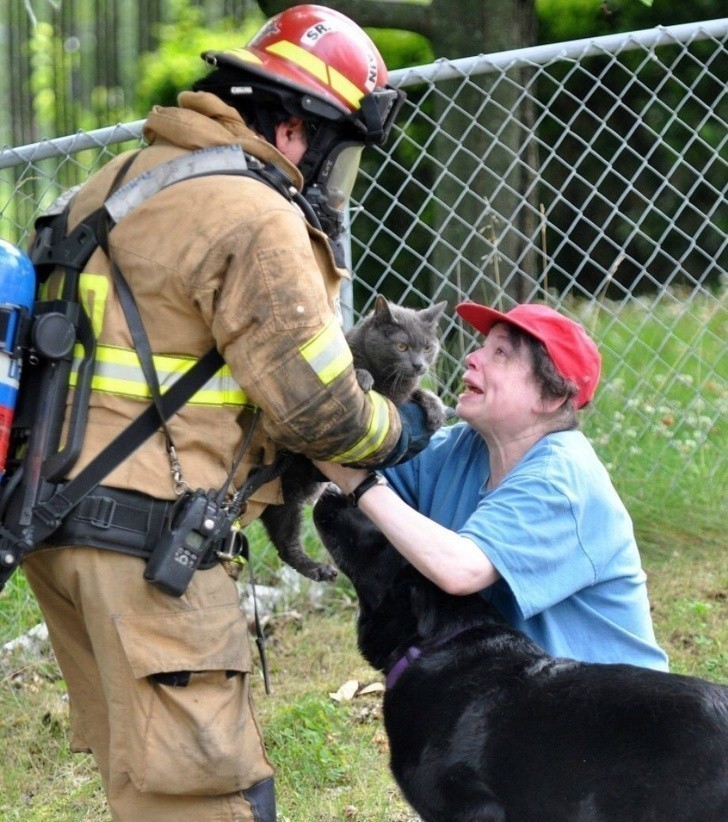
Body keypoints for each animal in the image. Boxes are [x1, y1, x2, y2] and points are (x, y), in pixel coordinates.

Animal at [258, 292, 446, 584]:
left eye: (428, 347)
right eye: (401, 346)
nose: (419, 365)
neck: (388, 380)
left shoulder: (399, 400)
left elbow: (417, 394)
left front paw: (436, 410)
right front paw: (363, 377)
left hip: (287, 498)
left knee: (283, 538)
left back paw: (318, 570)